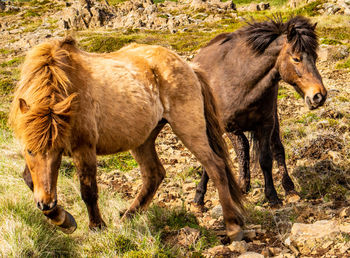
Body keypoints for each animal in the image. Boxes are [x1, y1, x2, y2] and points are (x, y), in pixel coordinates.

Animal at [8, 36, 243, 240]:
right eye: (29, 150)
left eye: (57, 151)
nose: (46, 204)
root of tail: (188, 67)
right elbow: (29, 178)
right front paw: (63, 219)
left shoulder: (84, 148)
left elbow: (88, 190)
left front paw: (96, 226)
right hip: (143, 139)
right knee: (154, 174)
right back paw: (128, 217)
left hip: (189, 128)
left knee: (216, 166)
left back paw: (232, 226)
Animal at [193, 15, 326, 206]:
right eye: (296, 58)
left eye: (314, 57)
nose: (319, 96)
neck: (242, 81)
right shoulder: (228, 126)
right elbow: (242, 148)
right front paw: (243, 185)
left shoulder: (266, 124)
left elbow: (266, 159)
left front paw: (272, 196)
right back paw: (200, 197)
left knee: (277, 148)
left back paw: (290, 189)